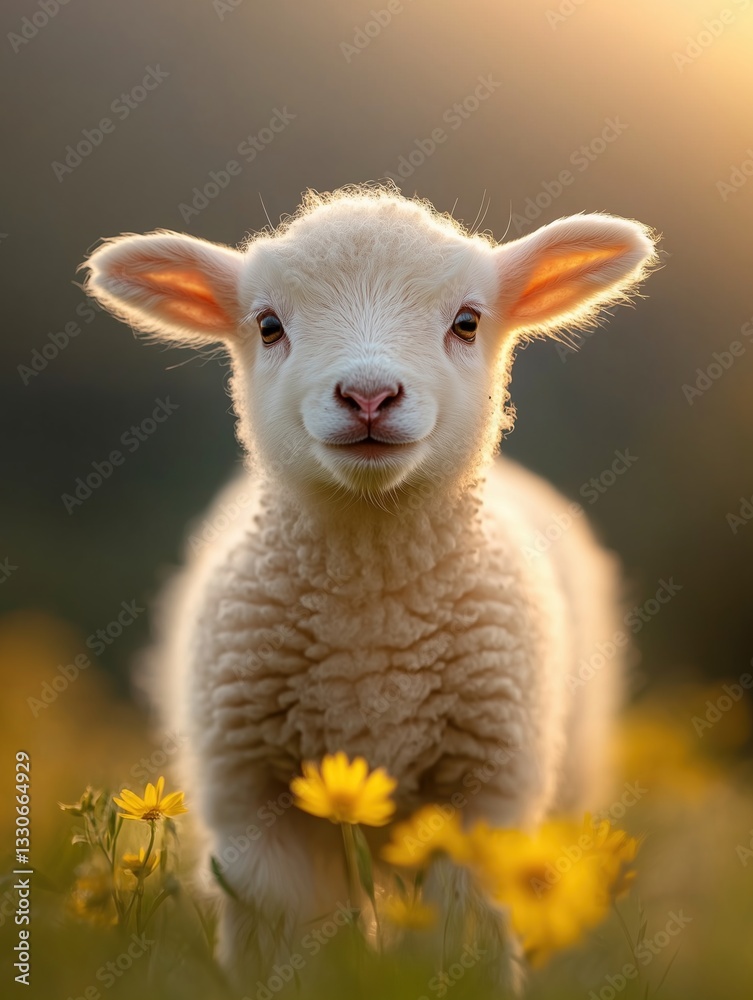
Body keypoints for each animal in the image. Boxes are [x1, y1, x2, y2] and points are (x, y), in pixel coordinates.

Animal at [81, 183, 658, 986]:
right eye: (268, 326)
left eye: (467, 322)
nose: (368, 395)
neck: (373, 622)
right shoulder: (255, 804)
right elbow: (283, 944)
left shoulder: (484, 793)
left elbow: (464, 939)